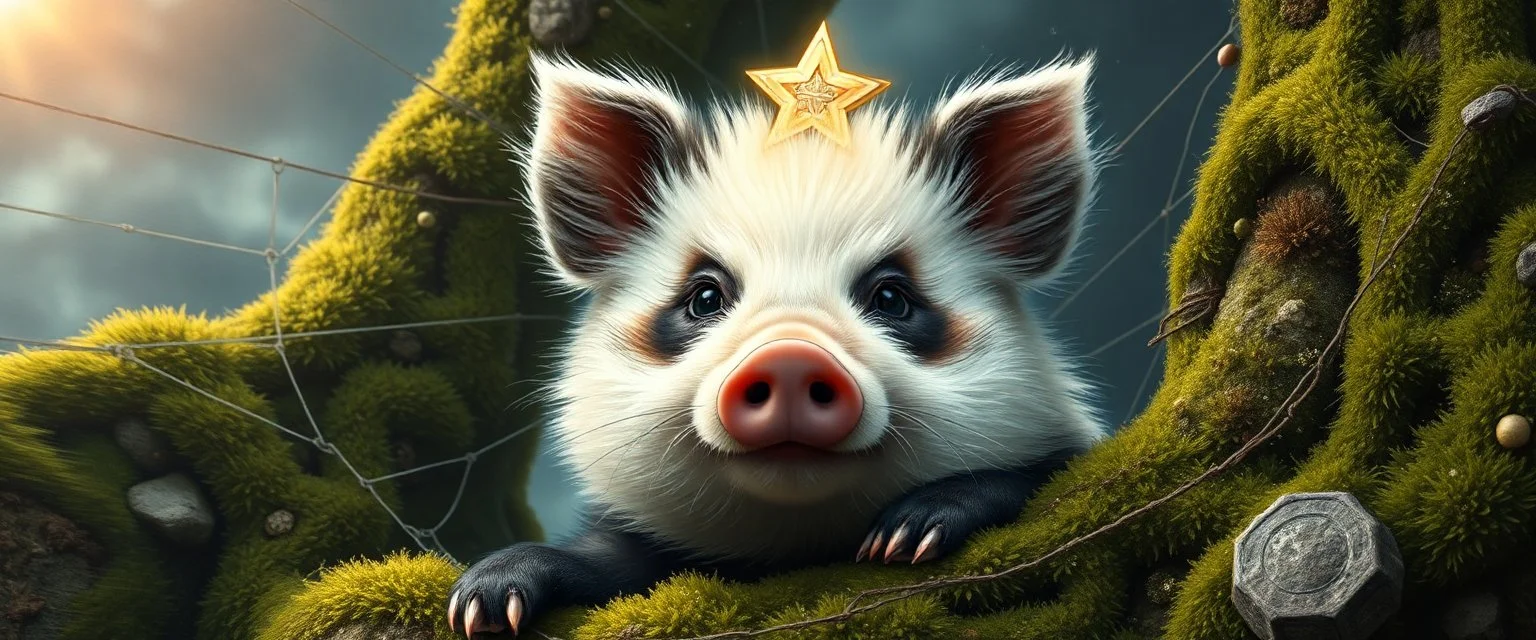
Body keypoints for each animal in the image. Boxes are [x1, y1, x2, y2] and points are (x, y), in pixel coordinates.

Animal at [447, 51, 1108, 635]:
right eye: (704, 295)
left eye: (891, 296)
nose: (790, 356)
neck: (797, 547)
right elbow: (608, 564)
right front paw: (484, 600)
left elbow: (1039, 479)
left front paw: (909, 534)